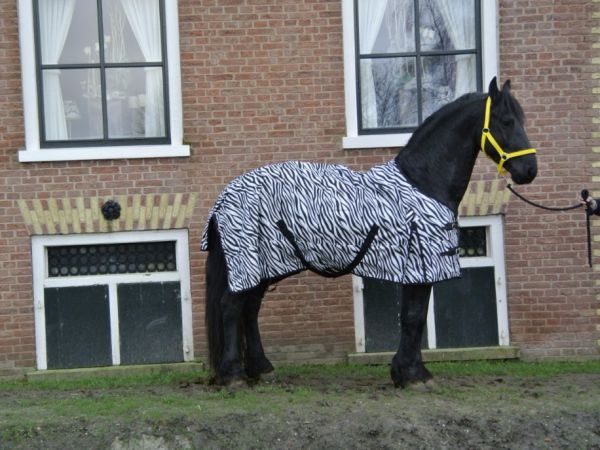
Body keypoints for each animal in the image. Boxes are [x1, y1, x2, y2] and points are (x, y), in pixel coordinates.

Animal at [202, 79, 540, 388]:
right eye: (507, 121)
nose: (530, 170)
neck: (422, 181)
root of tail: (225, 196)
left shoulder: (416, 268)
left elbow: (414, 317)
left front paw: (408, 371)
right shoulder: (420, 265)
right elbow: (414, 317)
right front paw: (412, 375)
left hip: (264, 266)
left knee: (249, 310)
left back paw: (260, 369)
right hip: (247, 262)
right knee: (231, 308)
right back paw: (233, 375)